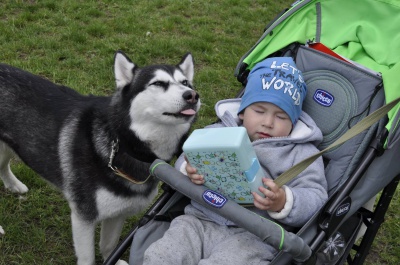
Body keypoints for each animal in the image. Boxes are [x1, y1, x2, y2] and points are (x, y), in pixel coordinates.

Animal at [0, 50, 200, 262]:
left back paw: (14, 185)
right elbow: (87, 257)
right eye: (158, 83)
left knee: (3, 166)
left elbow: (110, 245)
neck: (123, 143)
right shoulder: (84, 216)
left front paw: (113, 259)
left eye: (186, 82)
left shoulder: (118, 212)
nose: (192, 95)